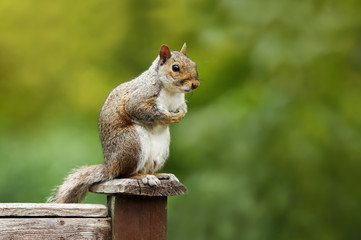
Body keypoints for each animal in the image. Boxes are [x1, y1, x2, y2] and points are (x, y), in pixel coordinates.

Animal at [47, 43, 200, 202]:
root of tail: (109, 166)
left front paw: (180, 114)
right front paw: (168, 117)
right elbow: (139, 108)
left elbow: (183, 108)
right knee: (125, 174)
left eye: (194, 64)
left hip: (161, 149)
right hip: (131, 143)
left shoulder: (179, 102)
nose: (195, 84)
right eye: (175, 68)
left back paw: (160, 175)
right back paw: (144, 177)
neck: (171, 91)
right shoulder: (140, 96)